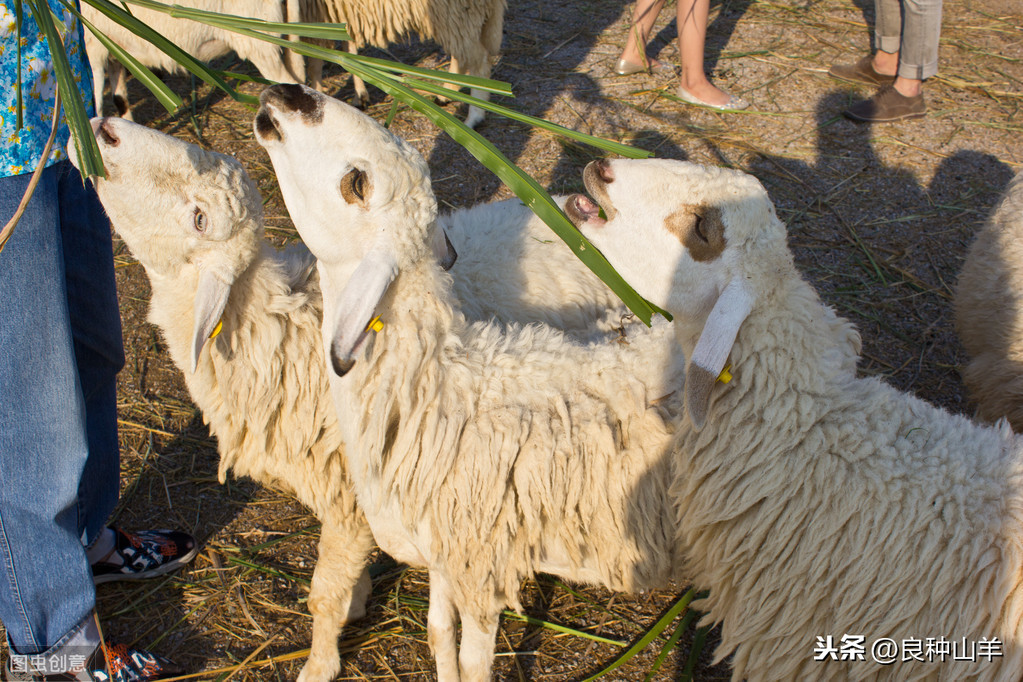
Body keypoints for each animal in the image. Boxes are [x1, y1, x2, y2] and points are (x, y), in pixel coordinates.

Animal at [254, 85, 687, 682]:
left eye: (356, 183)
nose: (288, 94)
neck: (437, 384)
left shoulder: (481, 562)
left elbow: (474, 658)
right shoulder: (445, 552)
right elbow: (439, 631)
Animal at [292, 0, 503, 127]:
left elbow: (315, 61)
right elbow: (341, 49)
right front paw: (360, 96)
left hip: (454, 12)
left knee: (479, 62)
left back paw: (474, 117)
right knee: (464, 54)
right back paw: (447, 92)